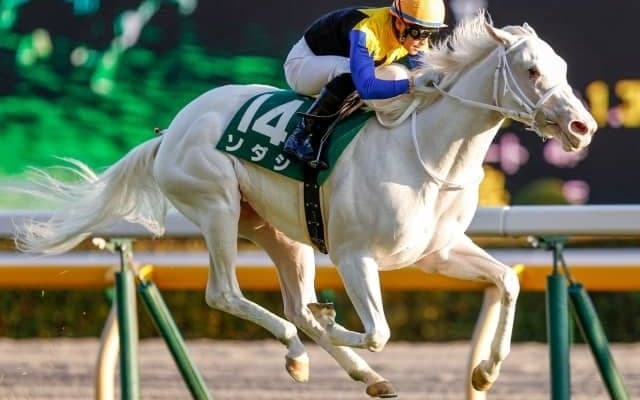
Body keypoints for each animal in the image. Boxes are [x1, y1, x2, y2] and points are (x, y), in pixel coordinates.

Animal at [14, 12, 596, 399]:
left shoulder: (437, 253)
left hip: (277, 231)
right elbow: (378, 331)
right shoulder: (354, 255)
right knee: (227, 294)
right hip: (217, 207)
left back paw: (359, 373)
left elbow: (508, 282)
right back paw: (298, 350)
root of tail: (170, 131)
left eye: (564, 67)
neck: (426, 151)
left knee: (293, 304)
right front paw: (333, 321)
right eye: (531, 71)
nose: (581, 126)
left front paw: (485, 372)